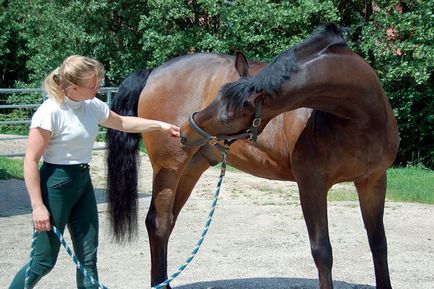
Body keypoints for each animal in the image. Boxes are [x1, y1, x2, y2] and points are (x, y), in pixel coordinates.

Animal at [178, 23, 398, 288]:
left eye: (226, 117)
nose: (184, 132)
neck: (361, 118)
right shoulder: (312, 185)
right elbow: (322, 252)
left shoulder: (373, 180)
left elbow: (379, 243)